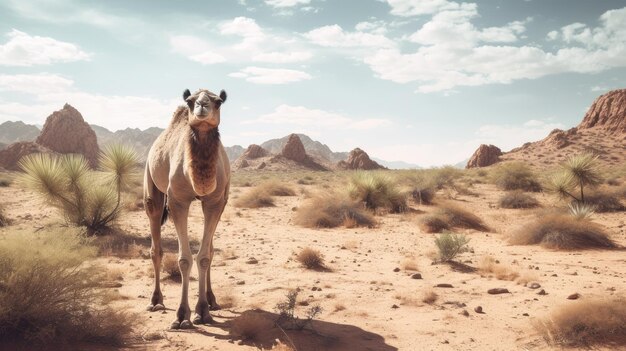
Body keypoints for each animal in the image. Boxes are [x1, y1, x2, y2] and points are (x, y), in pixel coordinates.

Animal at [143, 88, 229, 330]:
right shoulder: (178, 201)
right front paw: (182, 316)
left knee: (210, 250)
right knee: (156, 247)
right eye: (190, 101)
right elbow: (184, 259)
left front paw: (203, 311)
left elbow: (204, 256)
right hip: (151, 185)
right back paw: (156, 301)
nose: (202, 105)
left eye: (218, 102)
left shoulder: (215, 201)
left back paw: (212, 300)